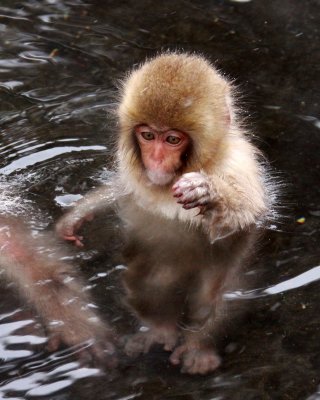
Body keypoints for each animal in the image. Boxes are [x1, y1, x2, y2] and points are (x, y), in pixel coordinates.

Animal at [56, 53, 274, 376]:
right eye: (148, 135)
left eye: (172, 140)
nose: (156, 159)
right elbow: (123, 191)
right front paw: (77, 216)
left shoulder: (238, 166)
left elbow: (241, 217)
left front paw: (208, 192)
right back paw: (160, 328)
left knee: (222, 290)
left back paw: (199, 344)